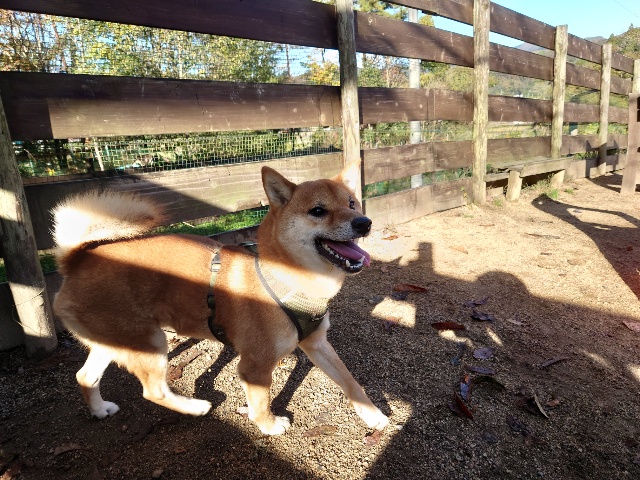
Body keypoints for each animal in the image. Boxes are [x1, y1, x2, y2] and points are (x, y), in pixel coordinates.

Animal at [52, 164, 389, 435]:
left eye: (351, 203)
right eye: (318, 211)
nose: (364, 222)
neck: (289, 278)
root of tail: (77, 259)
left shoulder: (316, 343)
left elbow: (350, 382)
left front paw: (373, 415)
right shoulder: (254, 366)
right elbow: (261, 403)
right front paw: (268, 425)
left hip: (116, 342)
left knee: (85, 376)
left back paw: (99, 410)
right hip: (149, 342)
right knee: (153, 391)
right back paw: (196, 407)